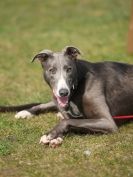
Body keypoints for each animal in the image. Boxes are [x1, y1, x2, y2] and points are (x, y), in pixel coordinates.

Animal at [0, 45, 132, 147]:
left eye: (69, 69)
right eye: (52, 70)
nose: (63, 92)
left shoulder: (107, 122)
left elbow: (69, 122)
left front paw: (51, 135)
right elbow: (71, 121)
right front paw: (56, 137)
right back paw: (26, 112)